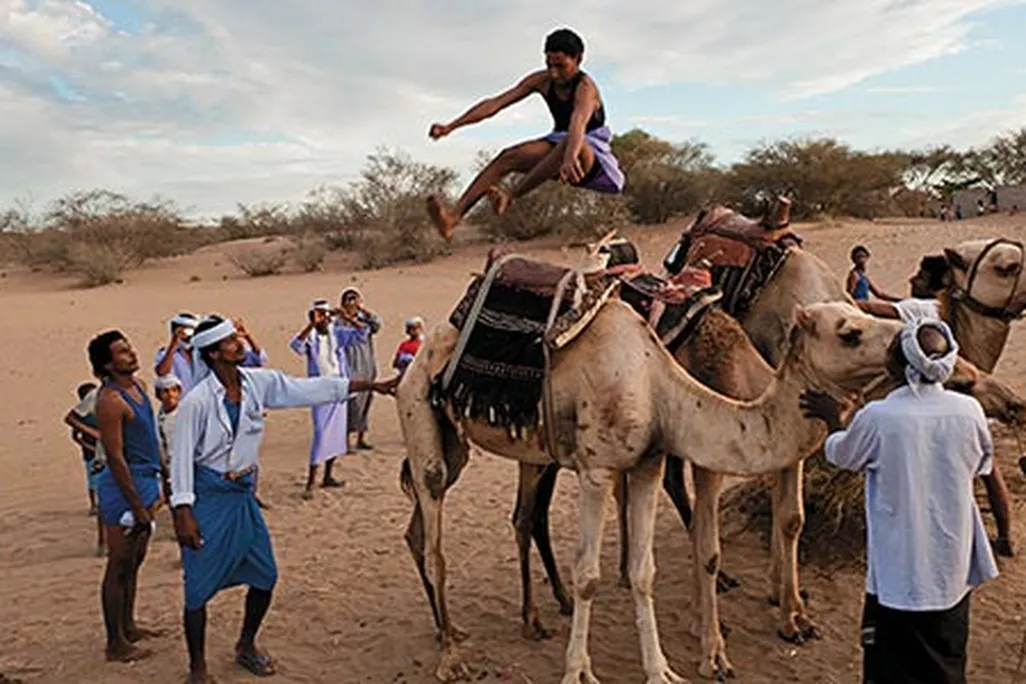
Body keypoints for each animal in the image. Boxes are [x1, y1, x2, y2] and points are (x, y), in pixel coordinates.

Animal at [397, 294, 908, 683]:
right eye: (849, 332)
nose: (904, 341)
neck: (655, 384)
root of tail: (416, 360)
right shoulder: (598, 468)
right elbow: (589, 575)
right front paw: (578, 671)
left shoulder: (648, 463)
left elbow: (644, 572)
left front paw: (661, 671)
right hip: (418, 411)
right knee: (438, 540)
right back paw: (453, 657)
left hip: (463, 445)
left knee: (425, 530)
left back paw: (459, 630)